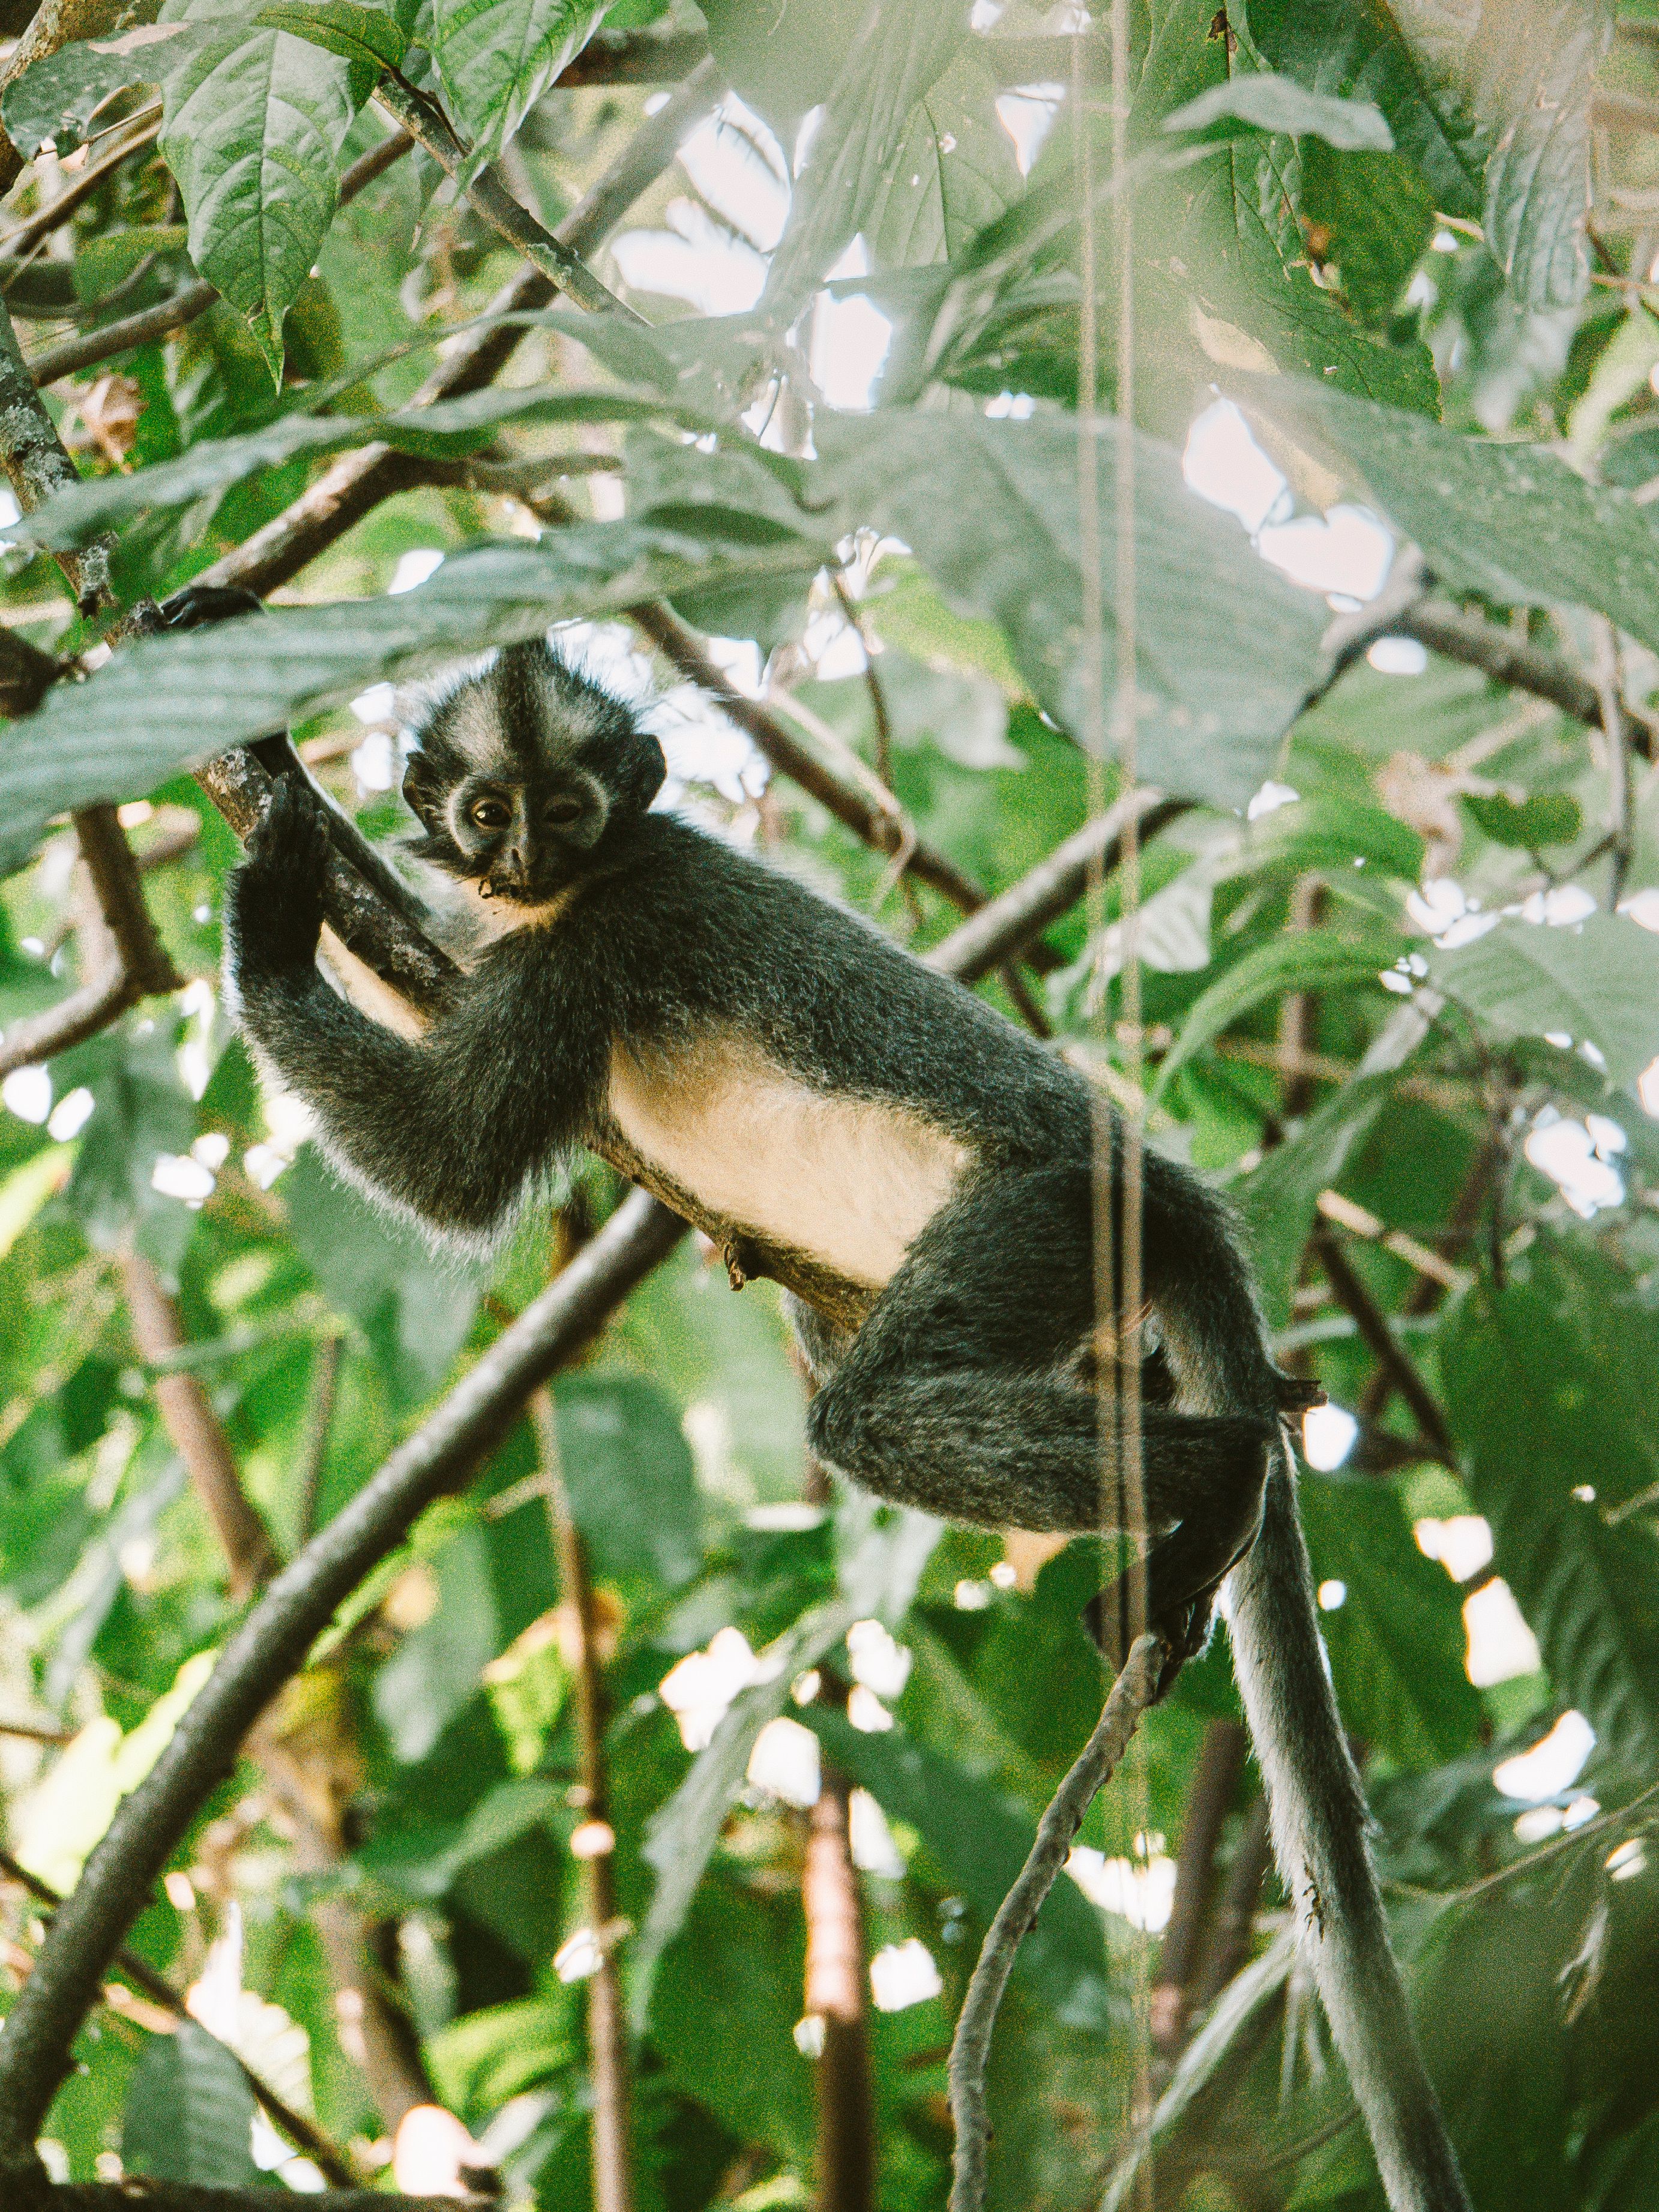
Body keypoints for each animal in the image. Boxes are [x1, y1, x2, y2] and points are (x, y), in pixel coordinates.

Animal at [219, 629, 1469, 2212]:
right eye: (488, 811)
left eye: (565, 811)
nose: (518, 861)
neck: (574, 893)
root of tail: (1170, 1191)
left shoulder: (605, 934)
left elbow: (449, 1165)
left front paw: (267, 913)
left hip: (1050, 1213)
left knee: (870, 1414)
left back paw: (1222, 1473)